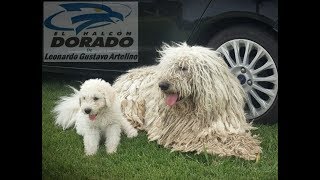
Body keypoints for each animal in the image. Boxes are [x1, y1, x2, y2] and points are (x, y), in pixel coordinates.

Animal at [114, 42, 262, 160]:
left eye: (183, 68)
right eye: (168, 68)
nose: (162, 85)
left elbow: (234, 135)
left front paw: (247, 144)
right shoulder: (185, 133)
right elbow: (209, 139)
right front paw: (237, 146)